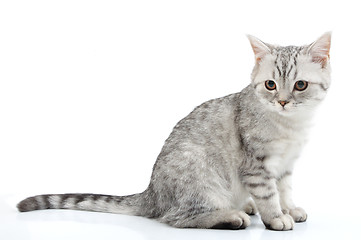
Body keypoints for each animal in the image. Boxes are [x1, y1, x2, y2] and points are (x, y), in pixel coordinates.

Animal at [17, 32, 332, 231]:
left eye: (300, 85)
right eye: (270, 85)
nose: (283, 101)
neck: (291, 126)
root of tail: (152, 193)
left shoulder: (285, 165)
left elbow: (285, 190)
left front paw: (289, 208)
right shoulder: (256, 166)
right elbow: (268, 195)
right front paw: (277, 217)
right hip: (201, 175)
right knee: (177, 217)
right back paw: (231, 216)